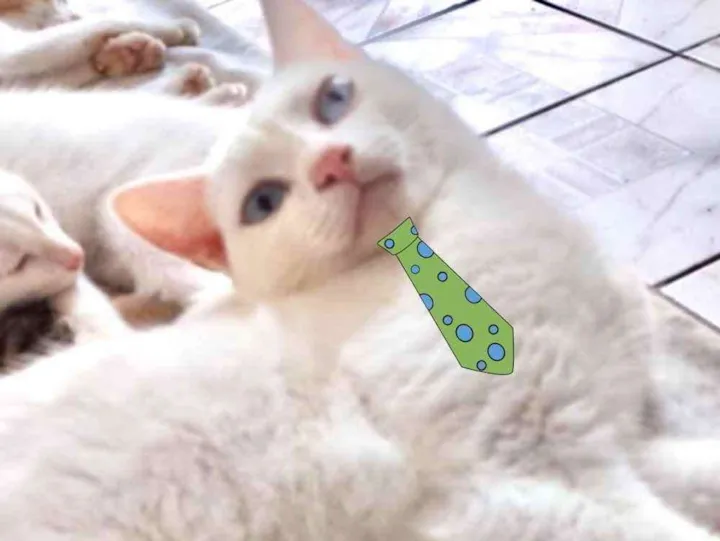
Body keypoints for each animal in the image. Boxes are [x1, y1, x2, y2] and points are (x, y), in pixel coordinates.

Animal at [1, 0, 720, 539]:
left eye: (334, 99)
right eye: (263, 202)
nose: (332, 163)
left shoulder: (619, 439)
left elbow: (694, 469)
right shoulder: (526, 481)